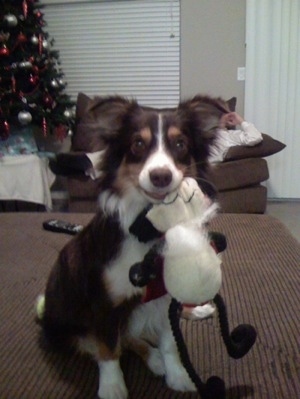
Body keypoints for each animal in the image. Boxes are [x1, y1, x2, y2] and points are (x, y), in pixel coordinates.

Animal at [36, 95, 229, 398]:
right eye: (138, 144)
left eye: (180, 144)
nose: (161, 176)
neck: (146, 229)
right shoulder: (102, 303)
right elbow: (108, 349)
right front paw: (113, 387)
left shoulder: (164, 296)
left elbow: (171, 342)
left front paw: (178, 374)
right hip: (67, 327)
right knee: (120, 340)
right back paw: (153, 359)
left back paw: (194, 312)